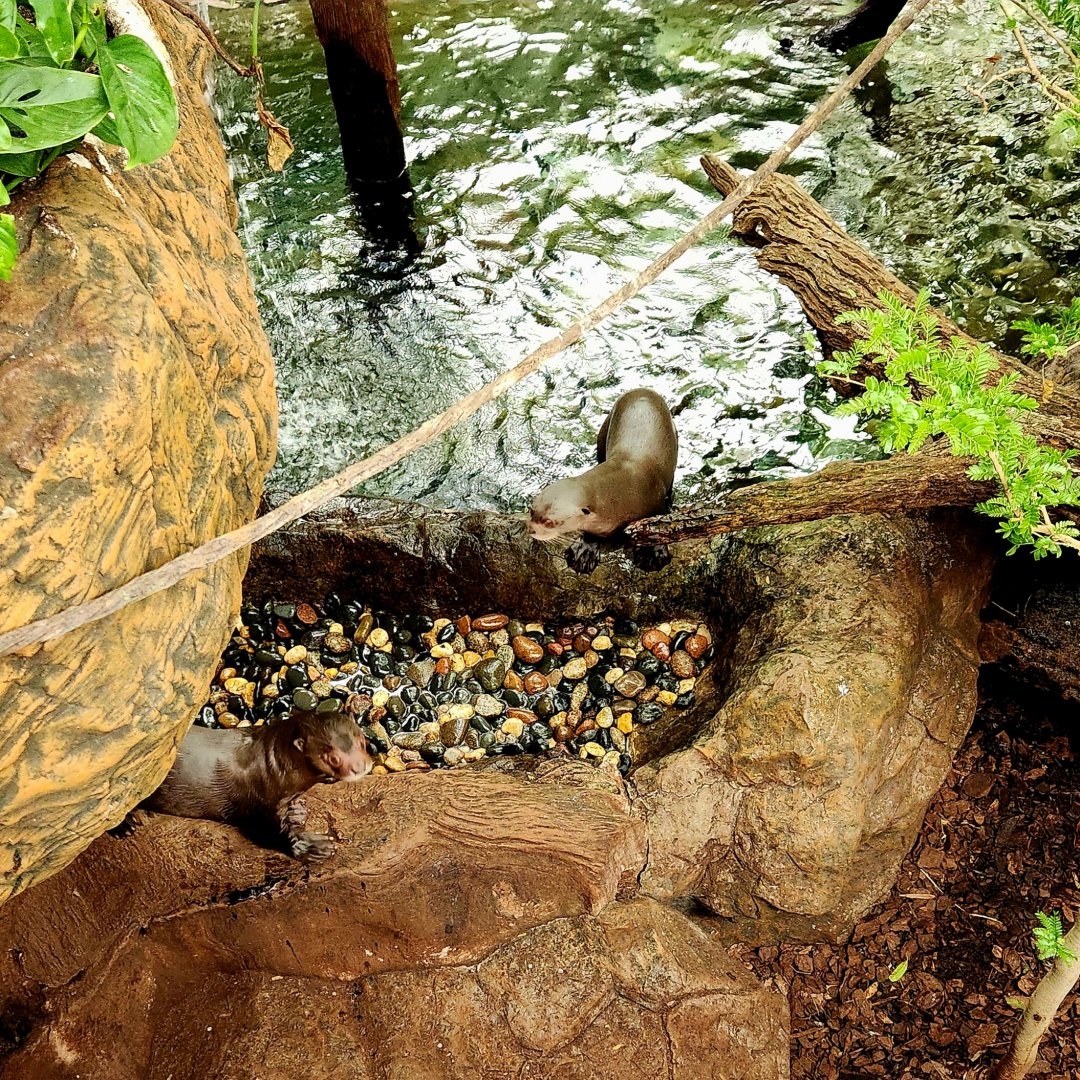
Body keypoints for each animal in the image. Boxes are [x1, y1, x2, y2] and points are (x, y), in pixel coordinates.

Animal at [117, 703, 372, 861]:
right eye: (333, 758)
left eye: (362, 741)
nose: (361, 767)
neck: (277, 769)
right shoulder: (259, 801)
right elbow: (273, 834)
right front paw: (313, 848)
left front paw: (296, 811)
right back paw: (125, 826)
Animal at [530, 388, 678, 574]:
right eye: (531, 511)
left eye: (549, 522)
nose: (531, 530)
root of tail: (643, 389)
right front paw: (584, 552)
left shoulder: (656, 498)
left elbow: (658, 525)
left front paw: (652, 552)